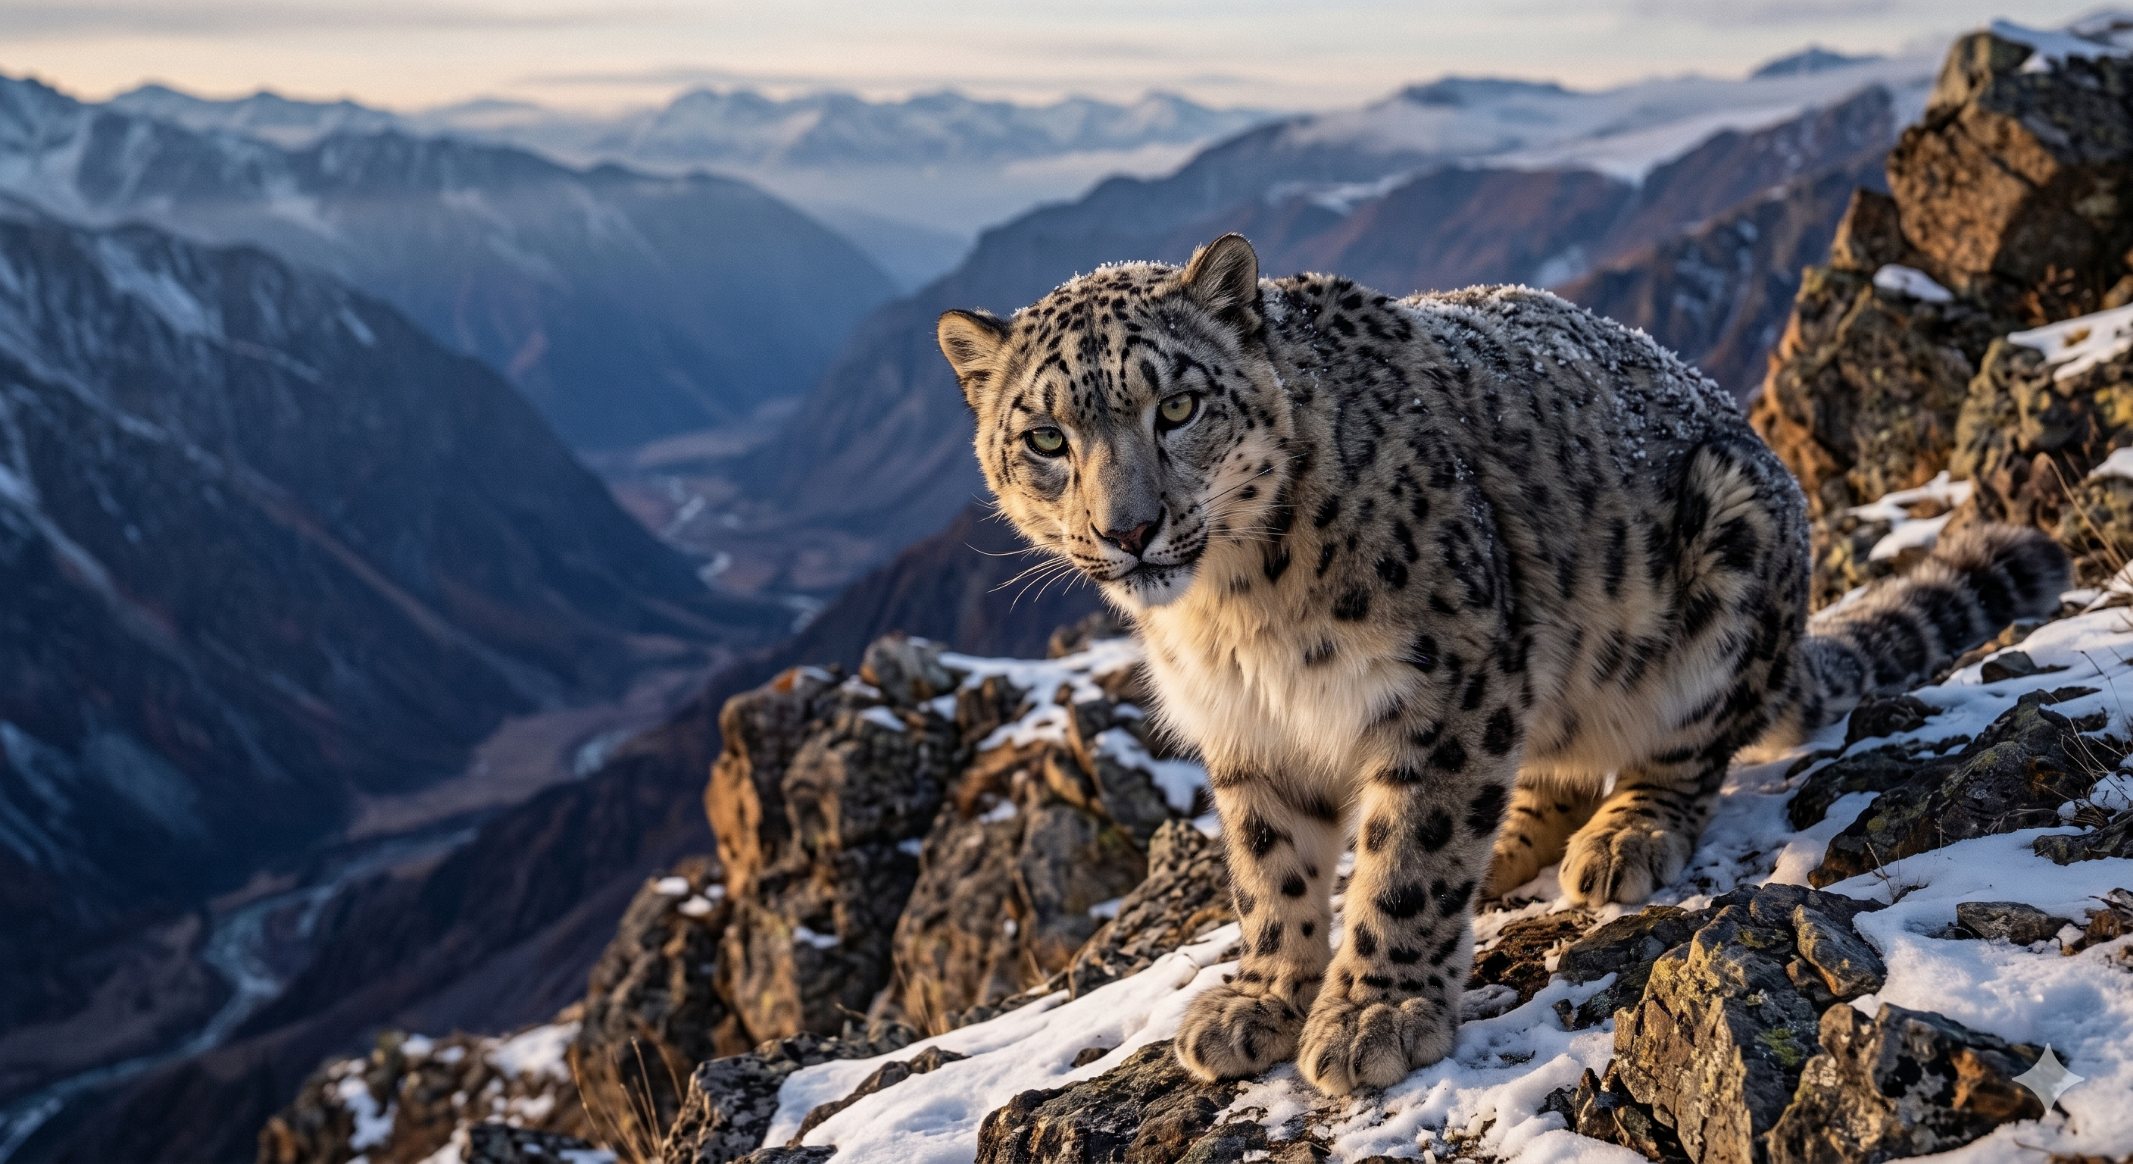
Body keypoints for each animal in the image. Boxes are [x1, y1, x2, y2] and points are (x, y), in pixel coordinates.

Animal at [934, 234, 2069, 1095]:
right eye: (1045, 436)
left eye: (1176, 407)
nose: (1127, 531)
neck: (1232, 618)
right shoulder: (1250, 732)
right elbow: (1270, 871)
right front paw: (1262, 998)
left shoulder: (1447, 683)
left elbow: (1411, 858)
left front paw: (1374, 1018)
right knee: (1550, 764)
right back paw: (1521, 837)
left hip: (1720, 558)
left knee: (1683, 753)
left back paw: (1623, 838)